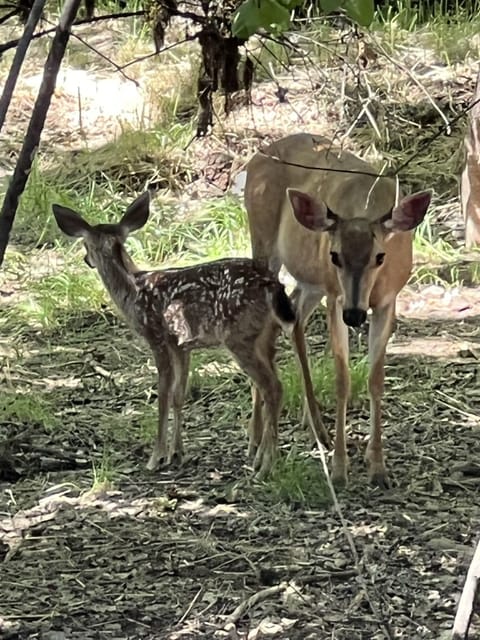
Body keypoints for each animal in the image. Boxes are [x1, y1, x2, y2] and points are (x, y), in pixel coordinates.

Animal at [53, 192, 300, 478]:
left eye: (85, 244)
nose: (86, 260)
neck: (132, 290)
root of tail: (271, 284)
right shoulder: (182, 344)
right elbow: (179, 396)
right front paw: (177, 454)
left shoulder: (157, 335)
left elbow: (163, 394)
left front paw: (156, 457)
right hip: (266, 335)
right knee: (268, 385)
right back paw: (264, 459)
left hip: (238, 336)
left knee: (272, 387)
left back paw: (266, 466)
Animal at [244, 132, 432, 488]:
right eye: (335, 255)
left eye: (380, 256)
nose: (355, 315)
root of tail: (258, 156)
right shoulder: (336, 297)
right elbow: (343, 379)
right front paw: (340, 469)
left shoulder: (388, 300)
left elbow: (375, 379)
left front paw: (378, 467)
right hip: (264, 244)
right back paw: (257, 442)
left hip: (311, 281)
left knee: (294, 317)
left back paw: (316, 429)